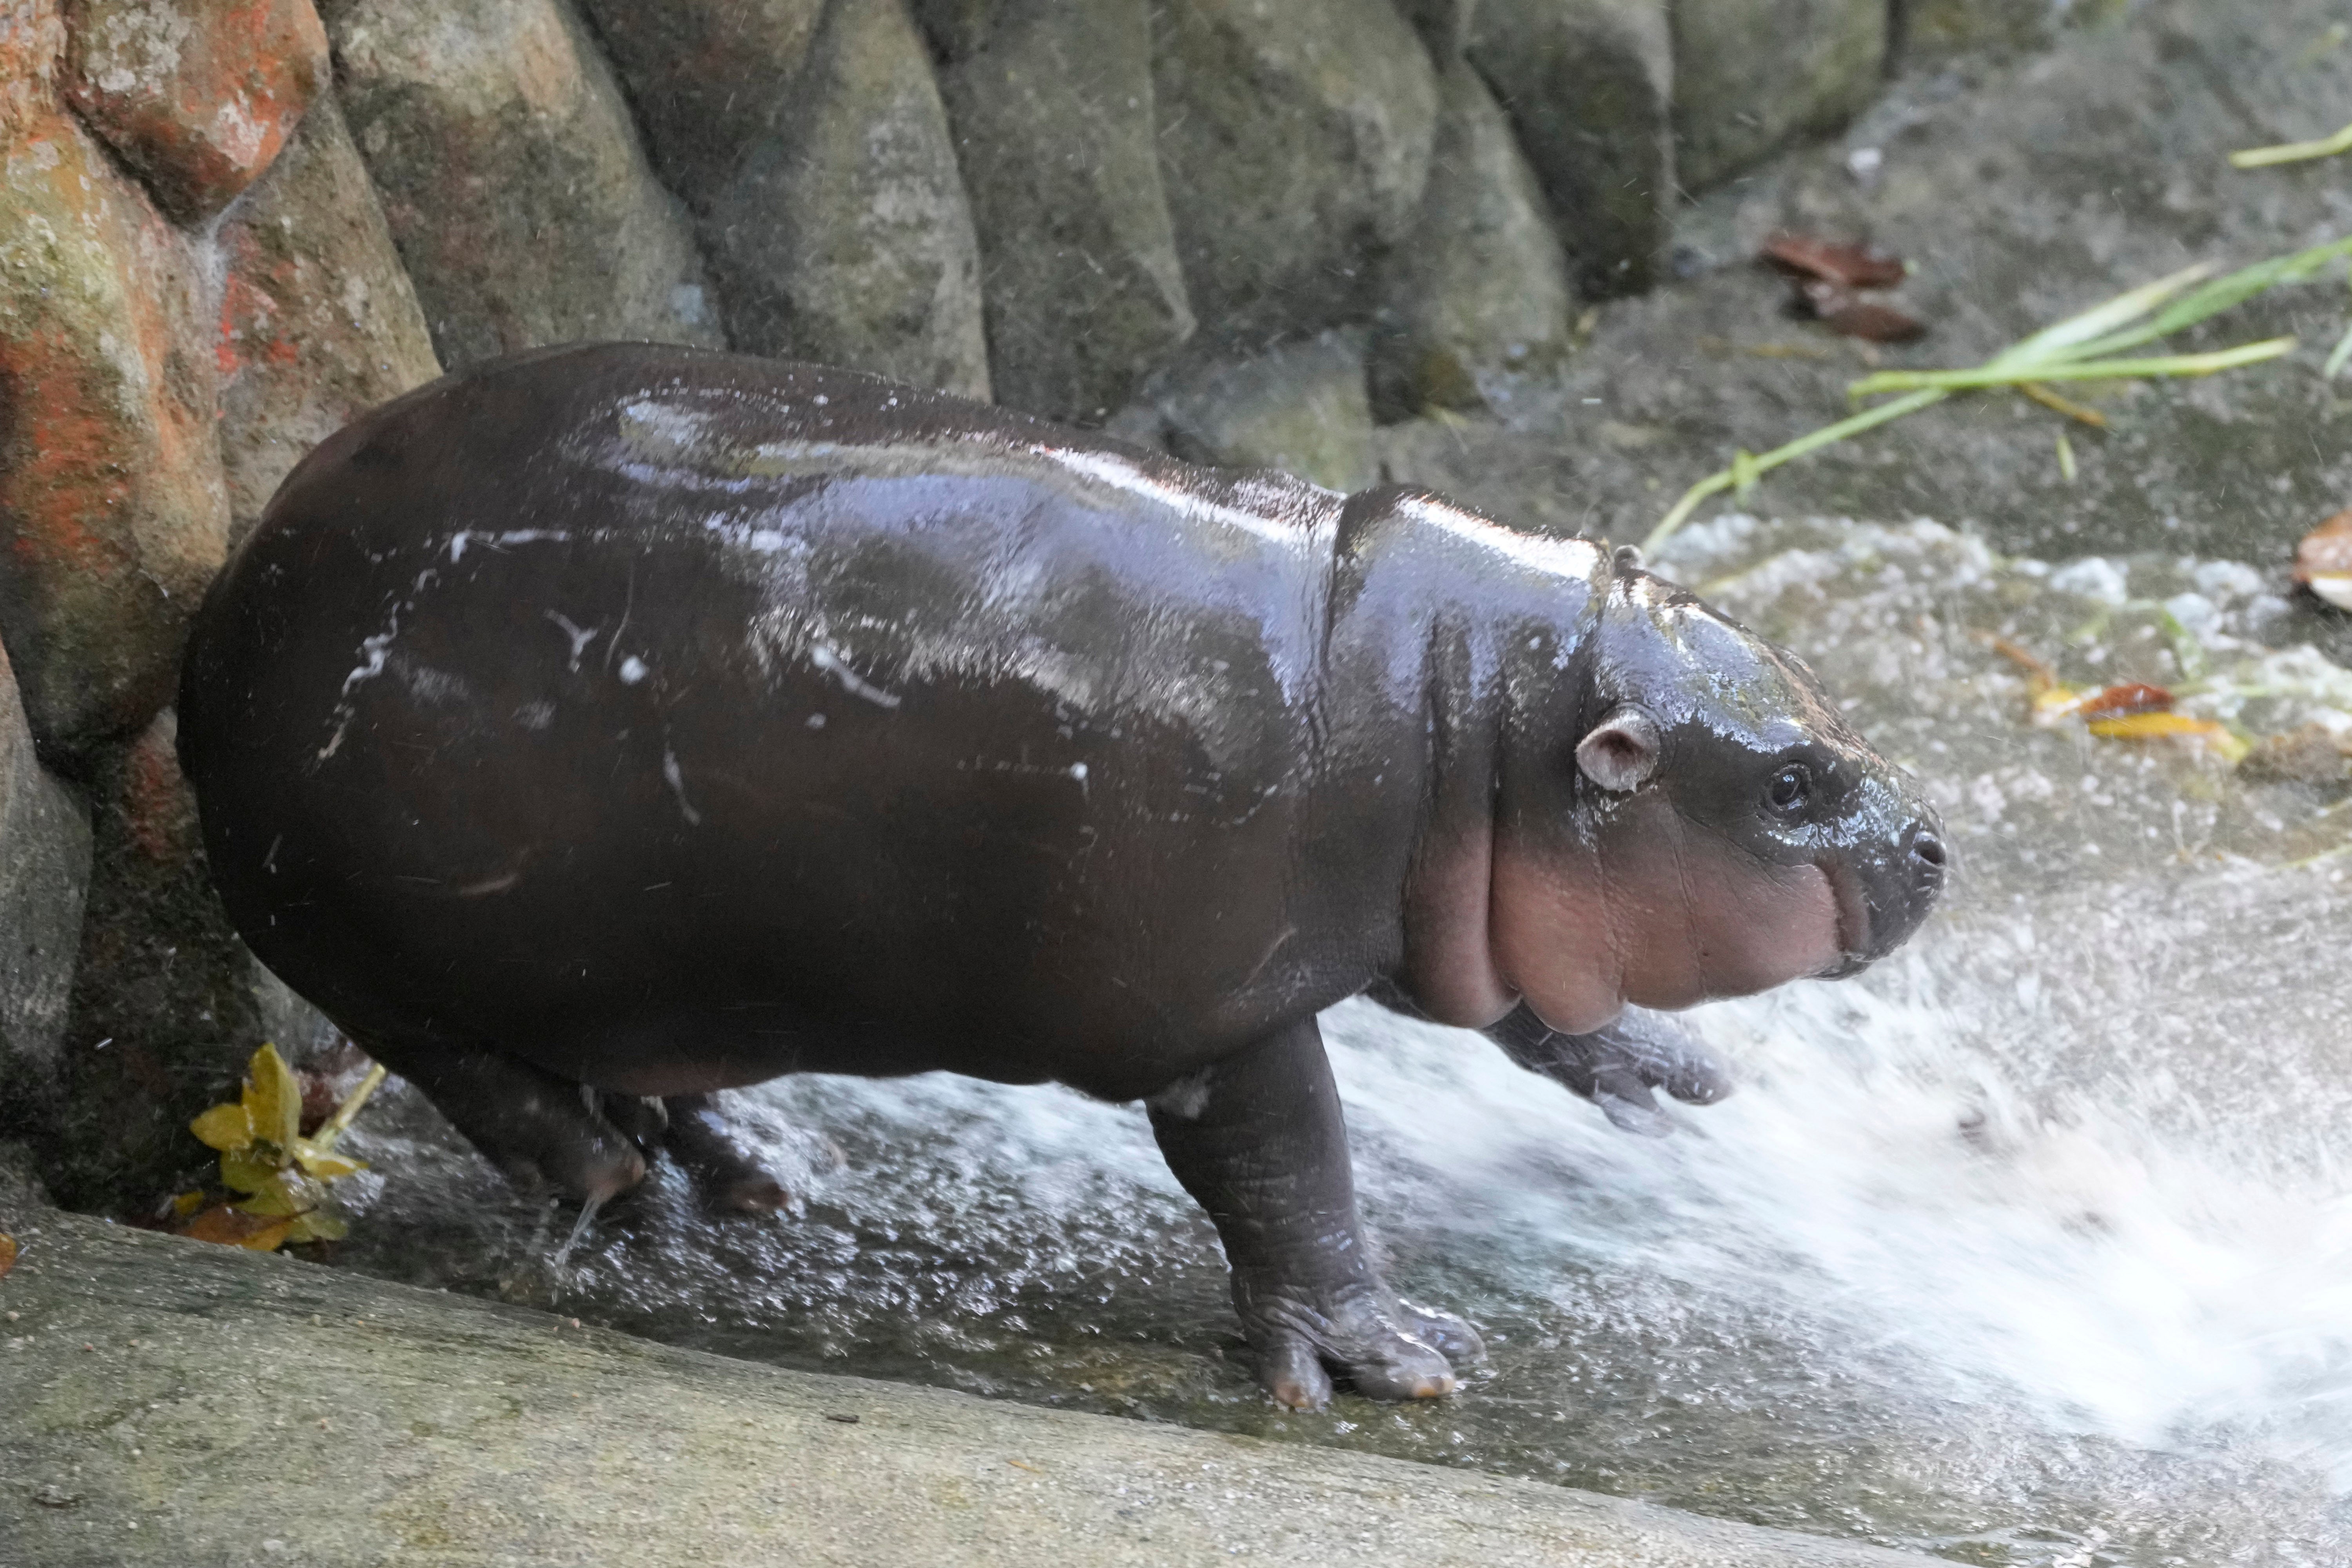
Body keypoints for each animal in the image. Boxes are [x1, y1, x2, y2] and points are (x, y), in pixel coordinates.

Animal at [179, 343, 1947, 1410]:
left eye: (1824, 720)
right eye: (1794, 784)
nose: (1935, 843)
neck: (1464, 699)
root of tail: (229, 598)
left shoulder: (1432, 903)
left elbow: (1504, 1002)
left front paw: (1661, 1072)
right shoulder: (1217, 1010)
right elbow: (1290, 1171)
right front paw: (1389, 1355)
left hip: (636, 971)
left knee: (618, 1067)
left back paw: (748, 1172)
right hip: (364, 942)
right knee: (484, 1079)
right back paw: (625, 1196)